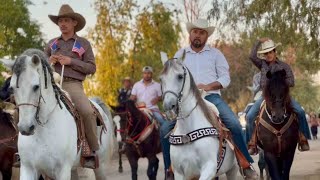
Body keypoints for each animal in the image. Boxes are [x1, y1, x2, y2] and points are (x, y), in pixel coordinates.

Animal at [0, 48, 115, 179]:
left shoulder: (63, 170)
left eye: (36, 86)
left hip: (100, 167)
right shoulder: (28, 168)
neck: (44, 129)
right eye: (12, 88)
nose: (25, 128)